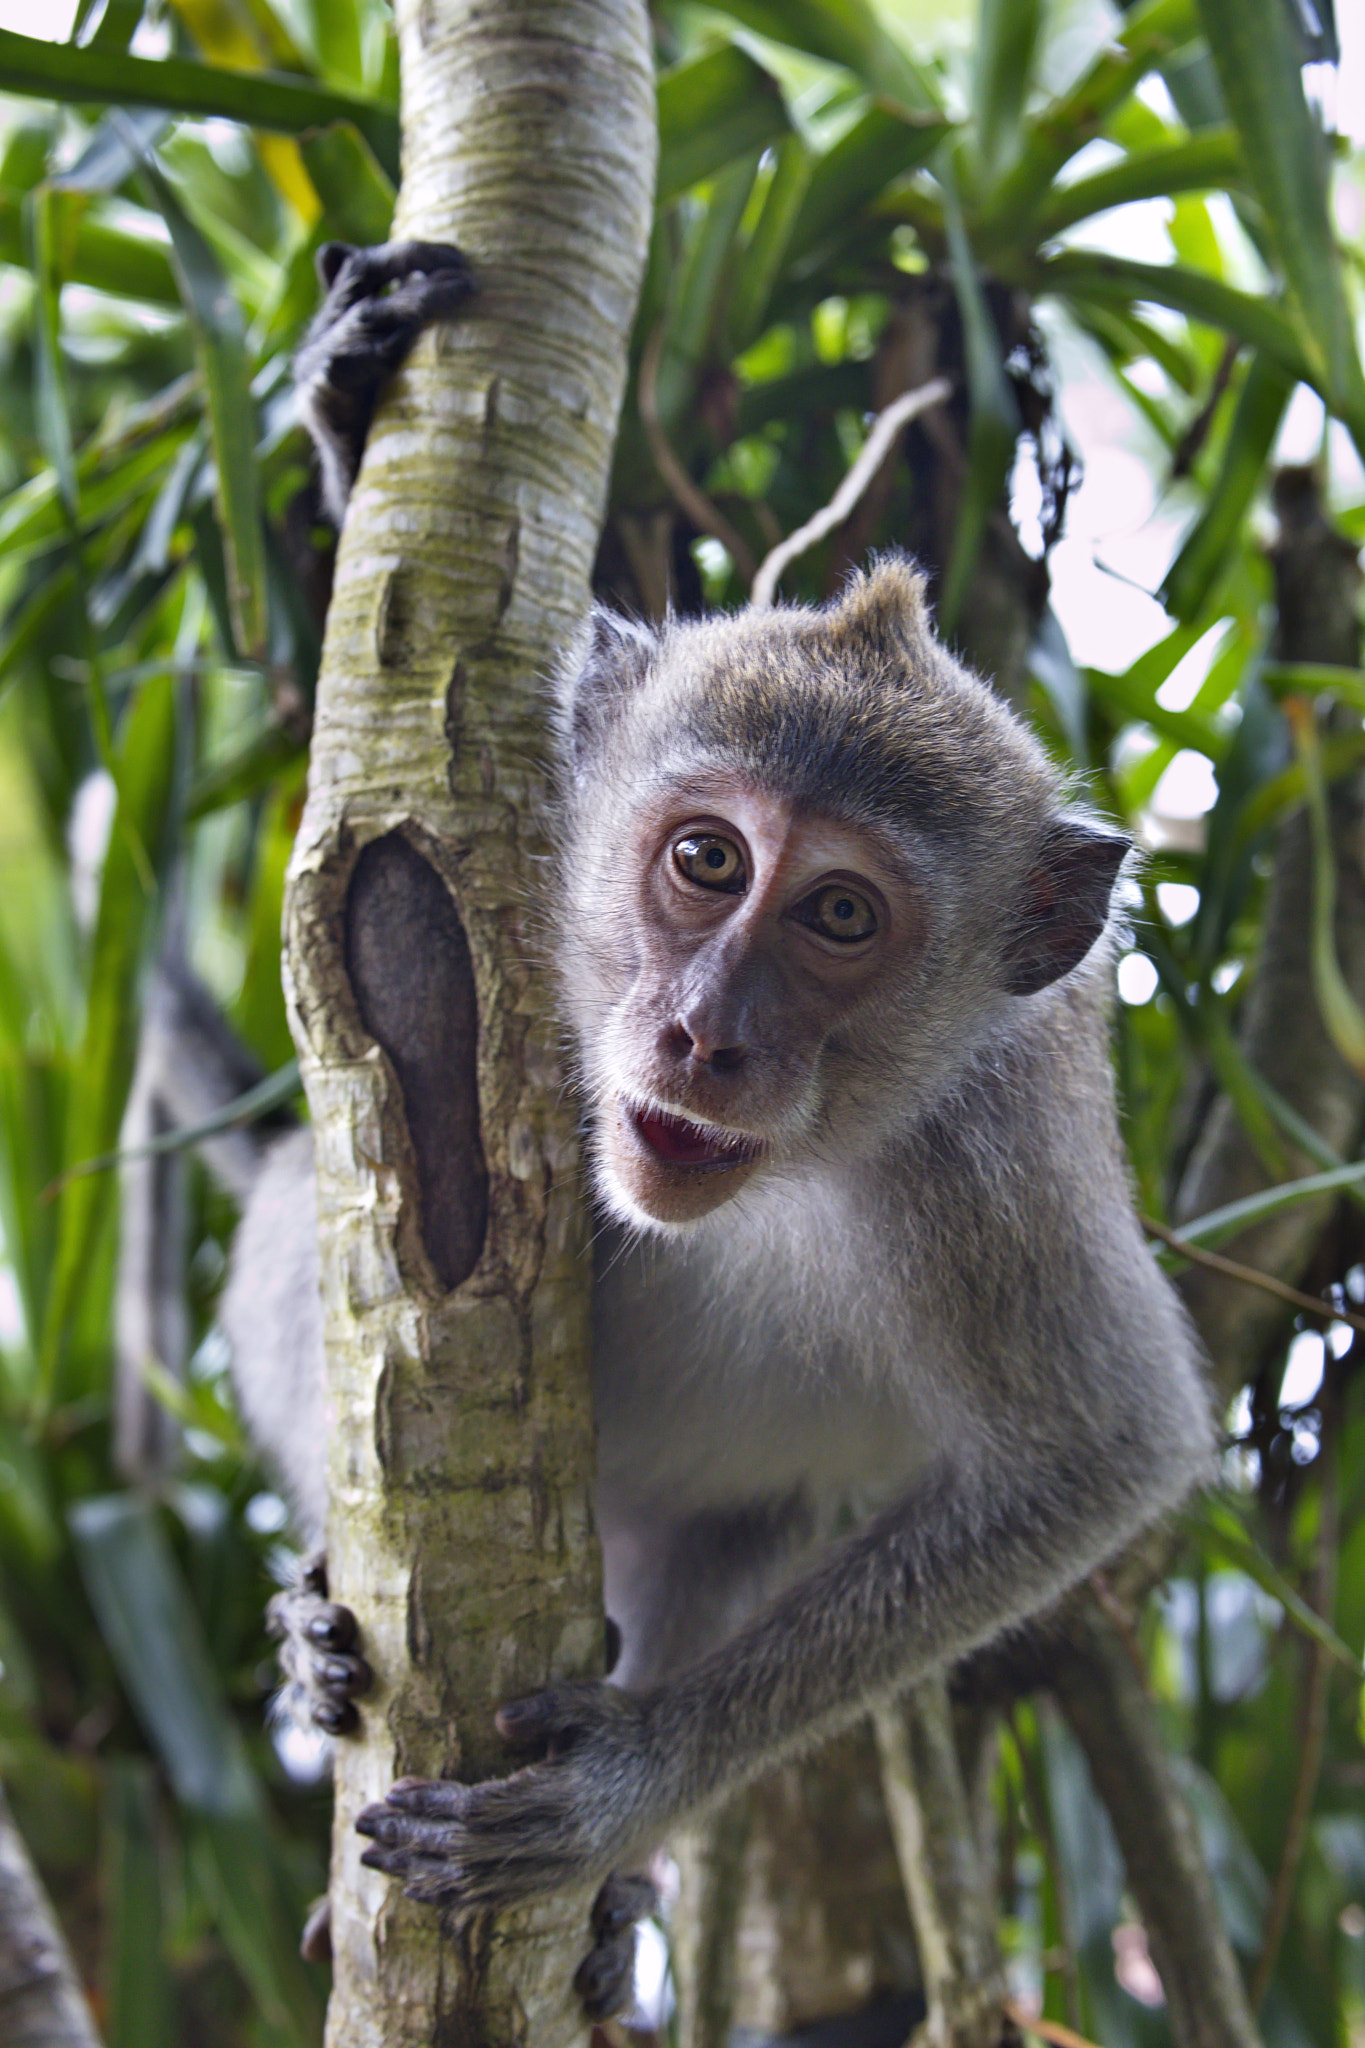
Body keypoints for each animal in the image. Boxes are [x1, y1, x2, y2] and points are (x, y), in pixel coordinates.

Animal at [118, 242, 1214, 2019]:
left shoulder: (991, 1168)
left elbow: (1100, 1457)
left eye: (839, 914)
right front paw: (348, 415)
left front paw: (621, 1788)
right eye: (705, 860)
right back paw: (312, 1635)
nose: (704, 1031)